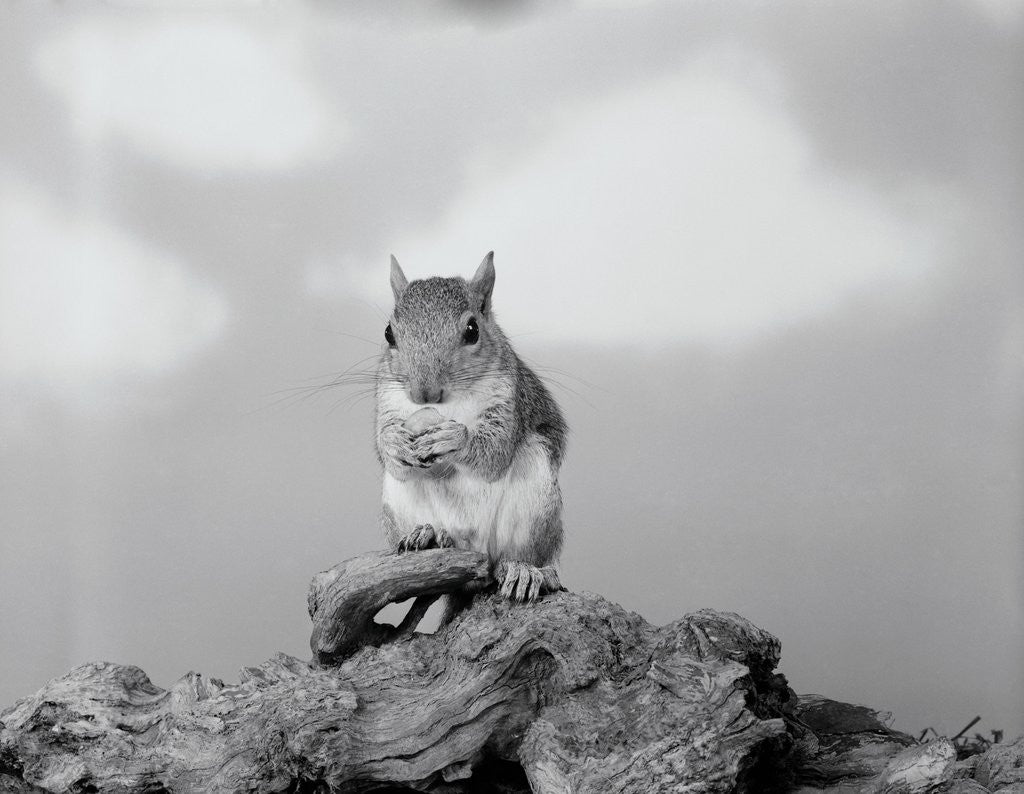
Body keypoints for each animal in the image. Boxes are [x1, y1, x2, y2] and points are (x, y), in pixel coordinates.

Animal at [375, 252, 567, 602]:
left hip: (535, 498)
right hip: (398, 503)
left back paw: (523, 569)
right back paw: (428, 536)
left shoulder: (508, 399)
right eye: (388, 334)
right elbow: (390, 454)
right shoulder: (387, 397)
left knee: (520, 556)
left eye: (472, 330)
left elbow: (494, 454)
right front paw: (393, 441)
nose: (424, 393)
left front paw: (454, 438)